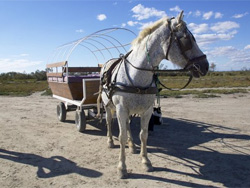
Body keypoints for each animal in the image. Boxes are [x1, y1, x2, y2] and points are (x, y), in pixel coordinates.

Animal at [97, 11, 209, 178]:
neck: (136, 74)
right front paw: (122, 167)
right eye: (187, 39)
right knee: (110, 121)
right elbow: (121, 136)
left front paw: (146, 161)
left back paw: (132, 145)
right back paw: (110, 141)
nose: (205, 66)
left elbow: (143, 135)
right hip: (109, 106)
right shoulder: (121, 109)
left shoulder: (147, 110)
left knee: (128, 125)